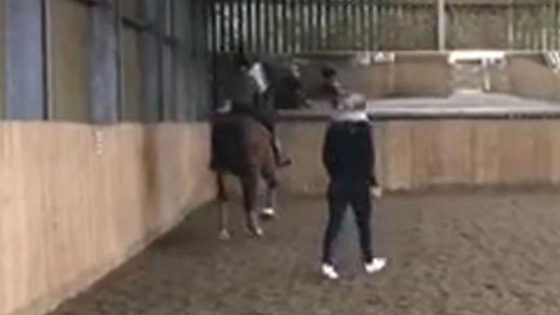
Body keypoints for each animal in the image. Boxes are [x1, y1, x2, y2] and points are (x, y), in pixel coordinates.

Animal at [208, 56, 304, 239]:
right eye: (293, 85)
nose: (304, 104)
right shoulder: (266, 164)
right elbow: (272, 183)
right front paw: (268, 211)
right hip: (251, 170)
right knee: (249, 199)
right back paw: (255, 228)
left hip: (222, 171)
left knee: (224, 196)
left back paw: (224, 230)